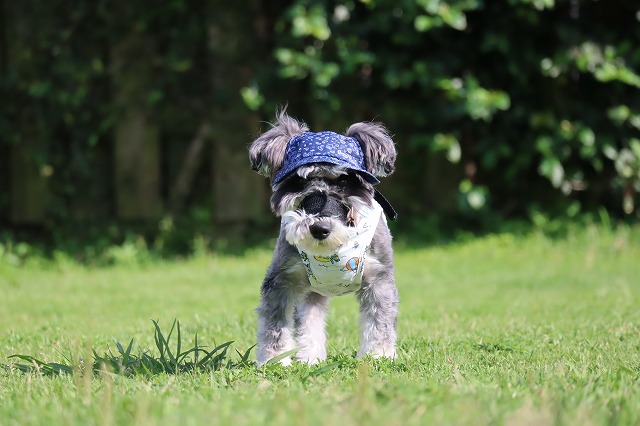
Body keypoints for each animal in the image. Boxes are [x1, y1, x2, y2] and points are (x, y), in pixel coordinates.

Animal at [249, 111, 399, 365]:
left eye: (345, 182)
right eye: (299, 182)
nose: (319, 228)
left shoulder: (379, 278)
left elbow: (380, 320)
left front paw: (379, 354)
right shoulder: (282, 280)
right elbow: (276, 324)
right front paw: (275, 359)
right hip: (311, 290)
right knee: (309, 321)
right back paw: (310, 356)